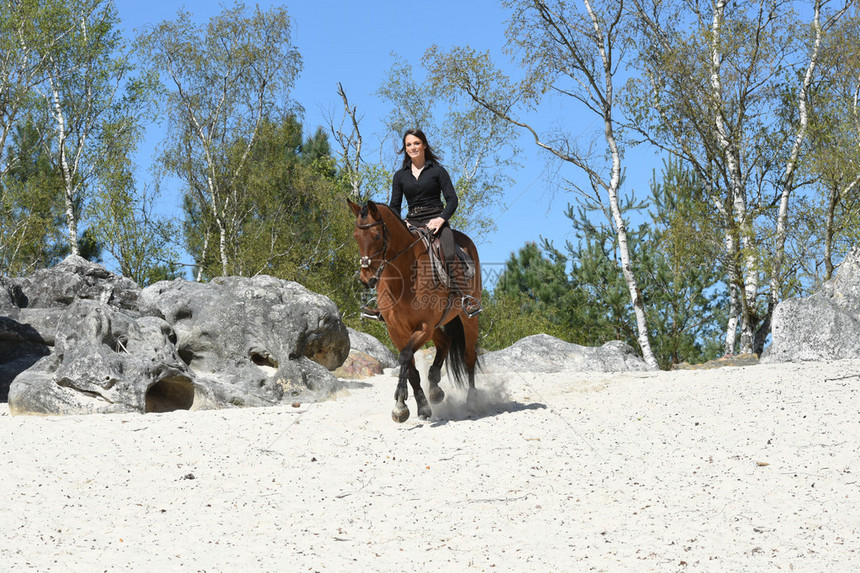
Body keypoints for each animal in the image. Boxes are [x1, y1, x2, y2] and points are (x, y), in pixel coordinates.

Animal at [350, 200, 484, 420]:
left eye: (377, 236)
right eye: (356, 236)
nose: (366, 280)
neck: (404, 278)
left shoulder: (423, 326)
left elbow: (405, 356)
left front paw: (400, 403)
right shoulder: (397, 330)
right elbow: (410, 367)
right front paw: (419, 405)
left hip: (468, 318)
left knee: (469, 356)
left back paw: (472, 400)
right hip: (436, 324)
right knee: (445, 342)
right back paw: (435, 389)